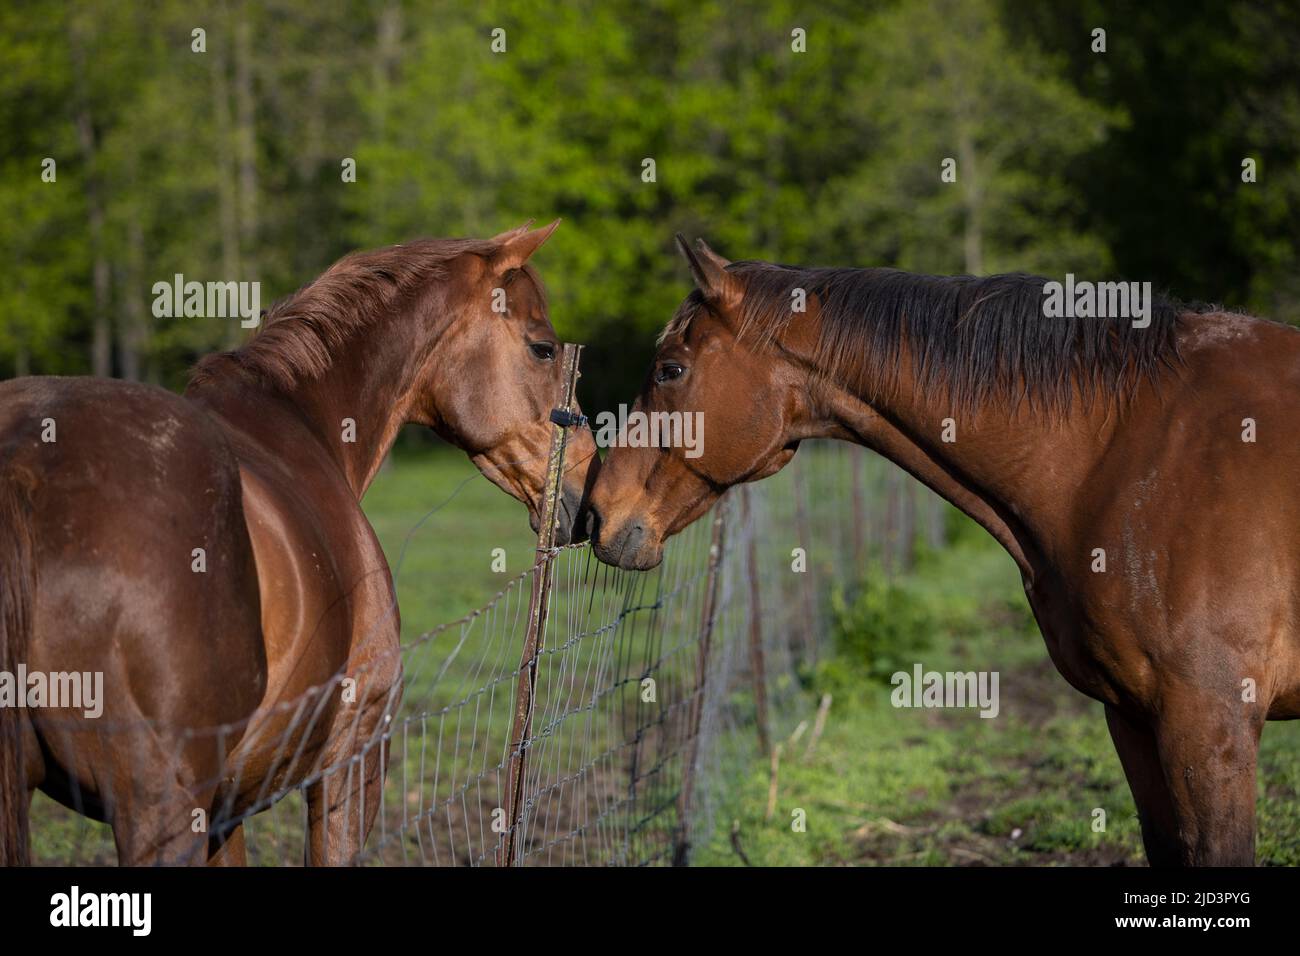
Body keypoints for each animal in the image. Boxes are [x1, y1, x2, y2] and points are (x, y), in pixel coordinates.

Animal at [0, 220, 599, 866]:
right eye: (543, 347)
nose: (589, 489)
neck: (303, 424)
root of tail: (26, 464)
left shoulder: (226, 807)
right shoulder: (352, 754)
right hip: (160, 809)